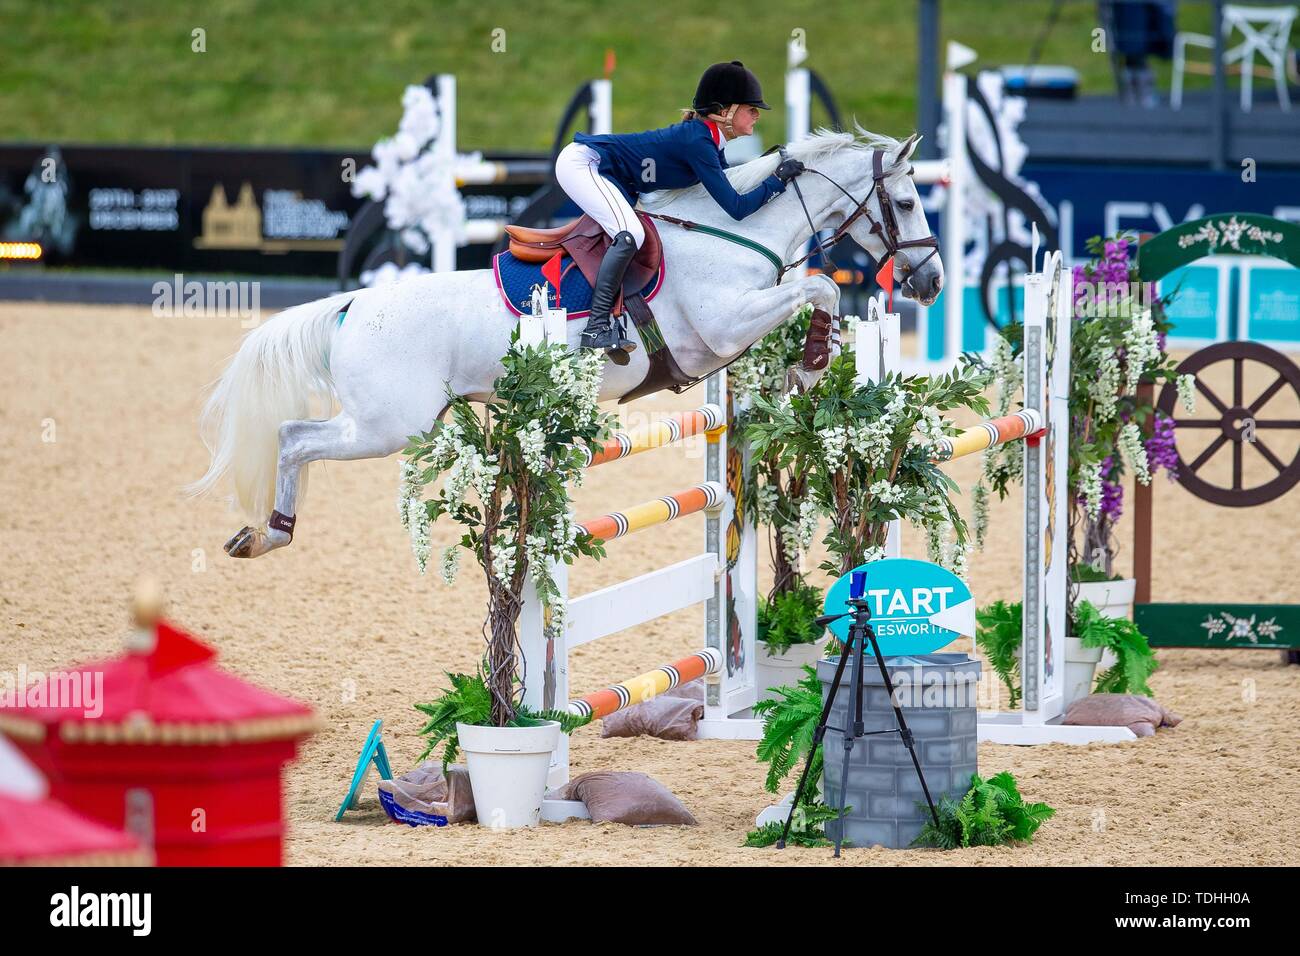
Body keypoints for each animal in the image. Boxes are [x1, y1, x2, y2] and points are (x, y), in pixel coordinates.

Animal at [189, 130, 946, 556]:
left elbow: (814, 297)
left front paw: (809, 370)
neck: (734, 230)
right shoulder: (724, 326)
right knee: (294, 437)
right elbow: (819, 289)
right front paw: (815, 363)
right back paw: (269, 532)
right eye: (908, 203)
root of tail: (353, 304)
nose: (932, 280)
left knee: (295, 435)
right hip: (390, 426)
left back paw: (264, 532)